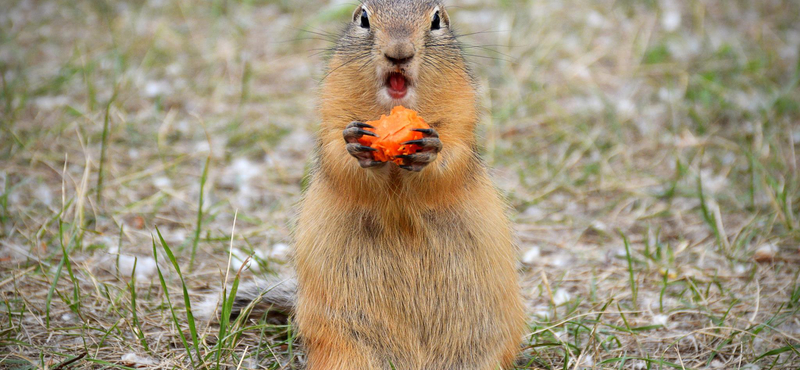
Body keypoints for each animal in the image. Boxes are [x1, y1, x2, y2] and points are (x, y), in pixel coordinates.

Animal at [203, 1, 524, 368]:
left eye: (436, 20)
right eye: (363, 18)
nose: (398, 52)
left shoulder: (461, 117)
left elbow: (452, 158)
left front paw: (429, 149)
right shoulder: (331, 113)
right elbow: (338, 156)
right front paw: (357, 144)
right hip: (347, 347)